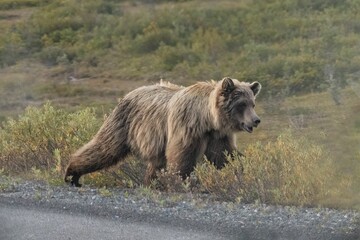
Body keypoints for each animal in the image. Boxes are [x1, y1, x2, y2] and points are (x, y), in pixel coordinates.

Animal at [64, 78, 262, 187]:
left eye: (252, 103)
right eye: (241, 104)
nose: (256, 120)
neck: (206, 118)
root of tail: (131, 92)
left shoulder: (217, 135)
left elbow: (224, 156)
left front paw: (243, 170)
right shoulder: (187, 127)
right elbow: (182, 157)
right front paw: (183, 181)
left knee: (155, 165)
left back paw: (150, 183)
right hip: (124, 122)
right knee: (106, 146)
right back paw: (72, 172)